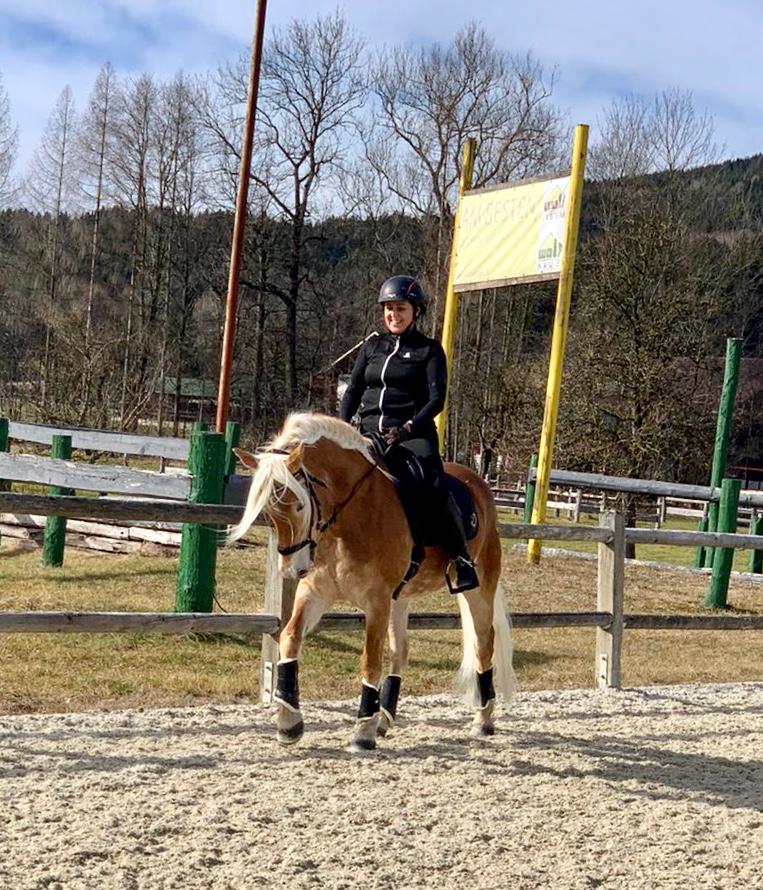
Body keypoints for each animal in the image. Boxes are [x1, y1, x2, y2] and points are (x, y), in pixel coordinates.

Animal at [229, 412, 515, 752]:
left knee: (484, 644)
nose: (291, 571)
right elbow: (289, 637)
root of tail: (480, 485)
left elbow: (370, 660)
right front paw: (289, 723)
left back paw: (483, 721)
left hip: (479, 588)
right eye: (269, 513)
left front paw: (362, 732)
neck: (352, 512)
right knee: (401, 650)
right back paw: (385, 720)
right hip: (401, 597)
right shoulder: (315, 591)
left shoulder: (376, 600)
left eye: (299, 505)